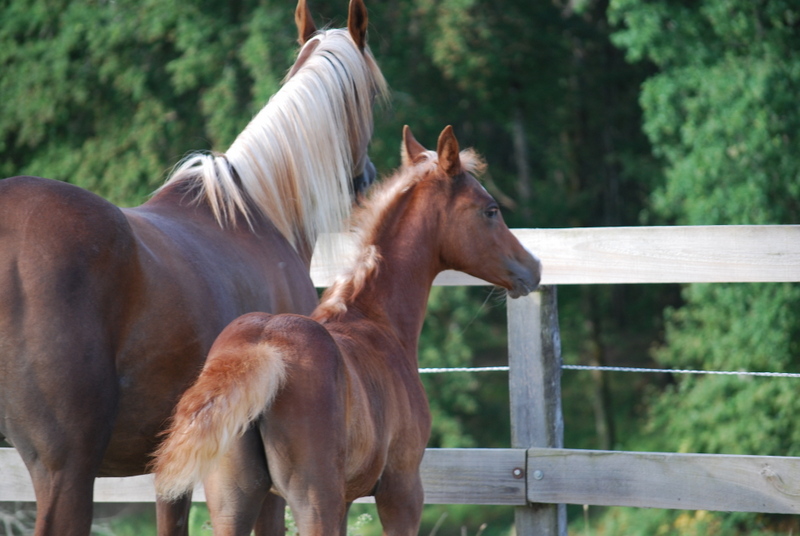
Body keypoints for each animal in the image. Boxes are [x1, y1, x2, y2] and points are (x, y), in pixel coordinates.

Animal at [155, 123, 544, 532]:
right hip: (313, 499)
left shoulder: (344, 500)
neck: (375, 320)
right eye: (491, 210)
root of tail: (262, 349)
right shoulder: (402, 490)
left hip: (233, 502)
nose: (532, 267)